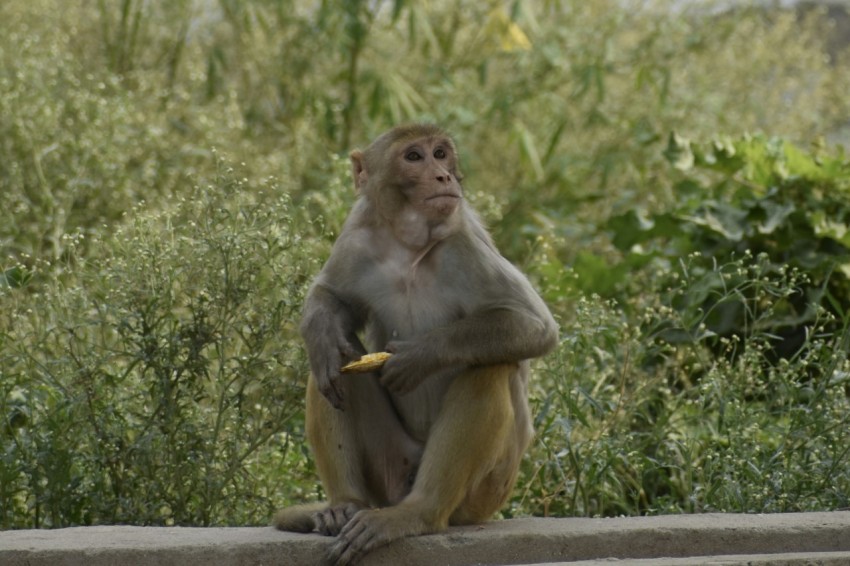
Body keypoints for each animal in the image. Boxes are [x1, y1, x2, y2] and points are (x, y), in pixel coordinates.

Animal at [274, 124, 558, 565]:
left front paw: (420, 356)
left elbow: (534, 326)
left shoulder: (465, 242)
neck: (409, 246)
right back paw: (343, 504)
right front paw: (323, 338)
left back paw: (418, 512)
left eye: (440, 154)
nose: (442, 176)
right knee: (334, 367)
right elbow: (331, 298)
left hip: (485, 493)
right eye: (414, 157)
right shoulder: (357, 233)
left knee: (491, 367)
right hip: (390, 465)